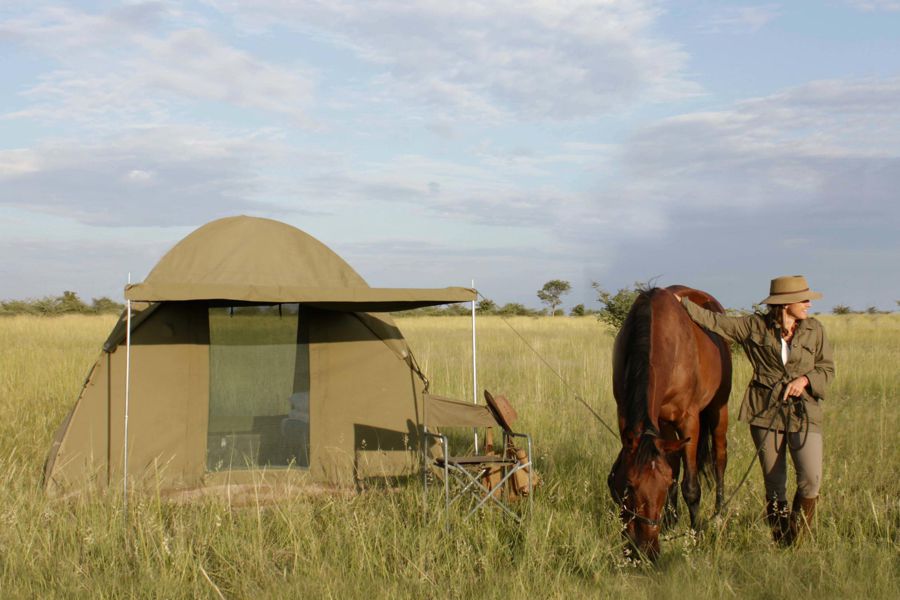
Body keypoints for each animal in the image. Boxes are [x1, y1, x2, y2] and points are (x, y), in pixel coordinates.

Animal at [604, 284, 732, 556]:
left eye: (661, 487)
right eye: (629, 485)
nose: (646, 549)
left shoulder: (688, 421)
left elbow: (691, 487)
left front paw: (696, 534)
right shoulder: (626, 416)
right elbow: (673, 468)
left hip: (718, 409)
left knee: (719, 458)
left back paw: (719, 513)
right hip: (665, 426)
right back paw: (673, 520)